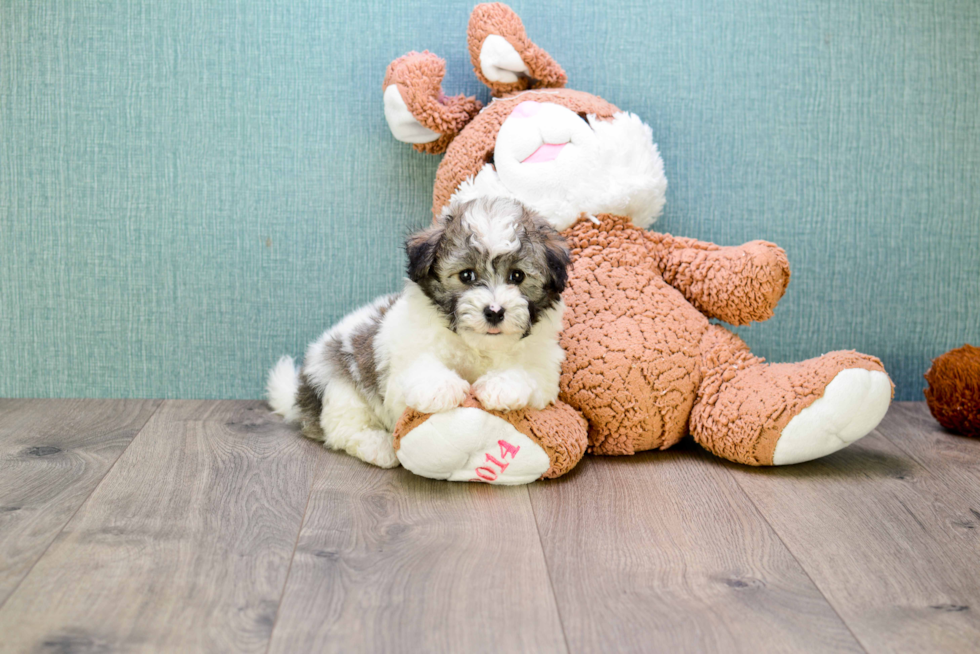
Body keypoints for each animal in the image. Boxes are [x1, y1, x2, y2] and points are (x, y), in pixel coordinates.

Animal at [268, 197, 576, 468]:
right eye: (467, 275)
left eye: (517, 276)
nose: (494, 311)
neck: (479, 348)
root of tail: (299, 393)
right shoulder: (405, 355)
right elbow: (419, 366)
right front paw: (441, 387)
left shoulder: (544, 366)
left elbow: (528, 373)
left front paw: (501, 386)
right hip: (339, 385)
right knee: (342, 429)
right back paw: (378, 446)